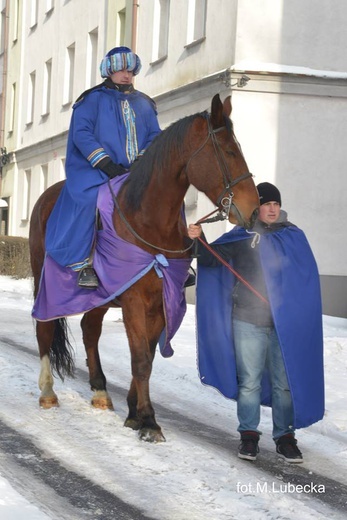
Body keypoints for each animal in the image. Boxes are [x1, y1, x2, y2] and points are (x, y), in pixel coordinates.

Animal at [29, 91, 258, 440]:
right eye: (230, 152)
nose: (254, 209)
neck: (149, 221)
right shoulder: (135, 300)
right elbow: (140, 359)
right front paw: (148, 420)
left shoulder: (162, 299)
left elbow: (148, 355)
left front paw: (134, 412)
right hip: (45, 281)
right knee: (44, 328)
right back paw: (47, 392)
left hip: (101, 297)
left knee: (90, 330)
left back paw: (100, 391)